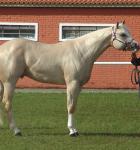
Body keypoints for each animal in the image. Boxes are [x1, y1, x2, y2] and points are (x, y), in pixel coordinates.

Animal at [0, 22, 139, 136]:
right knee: (7, 103)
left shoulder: (79, 85)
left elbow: (74, 105)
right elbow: (71, 106)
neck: (82, 51)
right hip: (9, 82)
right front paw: (72, 131)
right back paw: (16, 130)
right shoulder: (72, 83)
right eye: (123, 34)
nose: (136, 45)